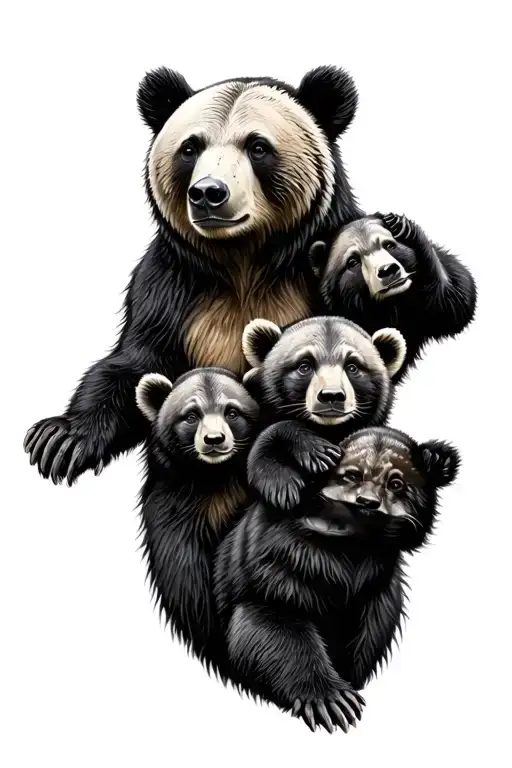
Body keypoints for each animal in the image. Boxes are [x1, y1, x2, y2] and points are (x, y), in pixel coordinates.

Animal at [24, 65, 363, 485]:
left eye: (258, 146)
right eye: (191, 148)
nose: (207, 193)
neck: (242, 256)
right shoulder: (172, 288)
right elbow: (136, 366)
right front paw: (60, 439)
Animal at [134, 367, 260, 673]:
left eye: (232, 412)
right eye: (191, 415)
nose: (214, 439)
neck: (215, 477)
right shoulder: (174, 507)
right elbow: (187, 578)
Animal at [214, 426, 460, 732]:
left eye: (396, 483)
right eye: (351, 475)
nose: (367, 502)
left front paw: (437, 458)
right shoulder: (270, 574)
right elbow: (272, 630)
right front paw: (328, 698)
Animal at [240, 315, 406, 511]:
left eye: (352, 366)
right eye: (305, 365)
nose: (331, 395)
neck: (329, 429)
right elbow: (264, 443)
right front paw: (285, 483)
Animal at [309, 212, 477, 382]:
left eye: (389, 245)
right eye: (353, 261)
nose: (387, 270)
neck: (391, 306)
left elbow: (454, 303)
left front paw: (403, 227)